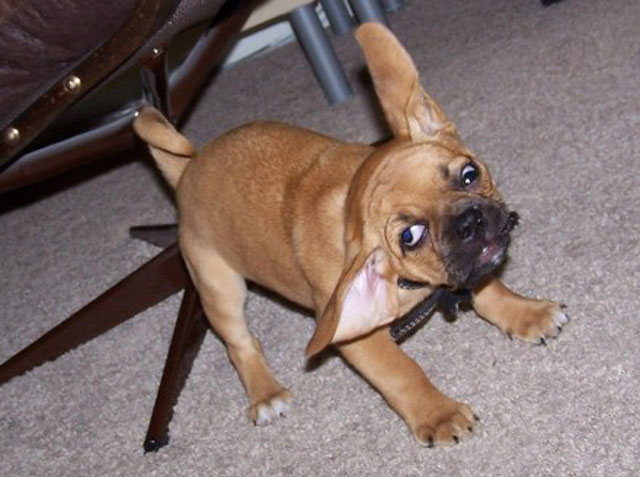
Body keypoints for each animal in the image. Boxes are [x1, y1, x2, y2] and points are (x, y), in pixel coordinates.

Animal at [132, 22, 568, 446]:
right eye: (410, 236)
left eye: (470, 174)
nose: (470, 223)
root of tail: (187, 169)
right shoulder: (358, 339)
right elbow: (402, 372)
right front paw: (438, 414)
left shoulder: (471, 269)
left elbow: (488, 289)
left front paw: (525, 313)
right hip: (217, 288)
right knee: (240, 343)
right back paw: (265, 393)